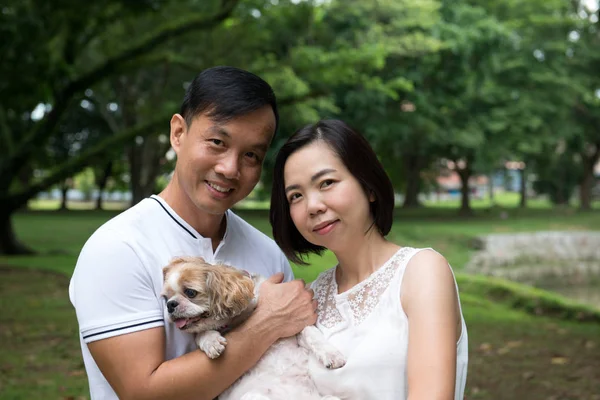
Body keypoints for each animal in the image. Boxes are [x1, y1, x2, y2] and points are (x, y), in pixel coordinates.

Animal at [162, 256, 344, 400]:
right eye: (165, 298)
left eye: (190, 292)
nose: (170, 305)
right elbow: (201, 333)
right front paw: (212, 343)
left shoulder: (295, 325)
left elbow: (310, 333)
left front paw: (332, 355)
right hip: (253, 396)